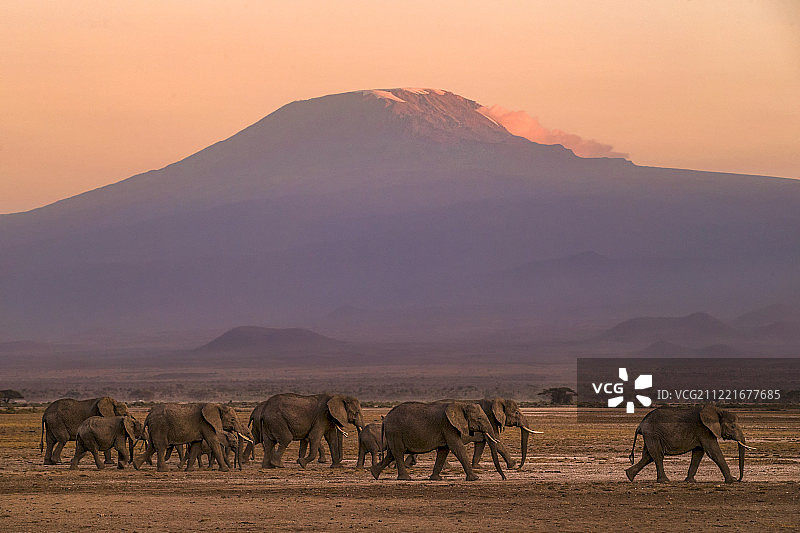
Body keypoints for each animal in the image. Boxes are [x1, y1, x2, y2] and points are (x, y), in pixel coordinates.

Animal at [370, 401, 506, 481]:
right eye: (479, 418)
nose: (504, 478)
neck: (461, 404)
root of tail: (385, 419)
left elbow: (443, 451)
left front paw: (436, 479)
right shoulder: (447, 425)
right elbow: (457, 447)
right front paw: (475, 478)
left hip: (393, 434)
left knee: (391, 454)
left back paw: (374, 473)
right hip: (395, 432)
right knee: (398, 452)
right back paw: (405, 479)